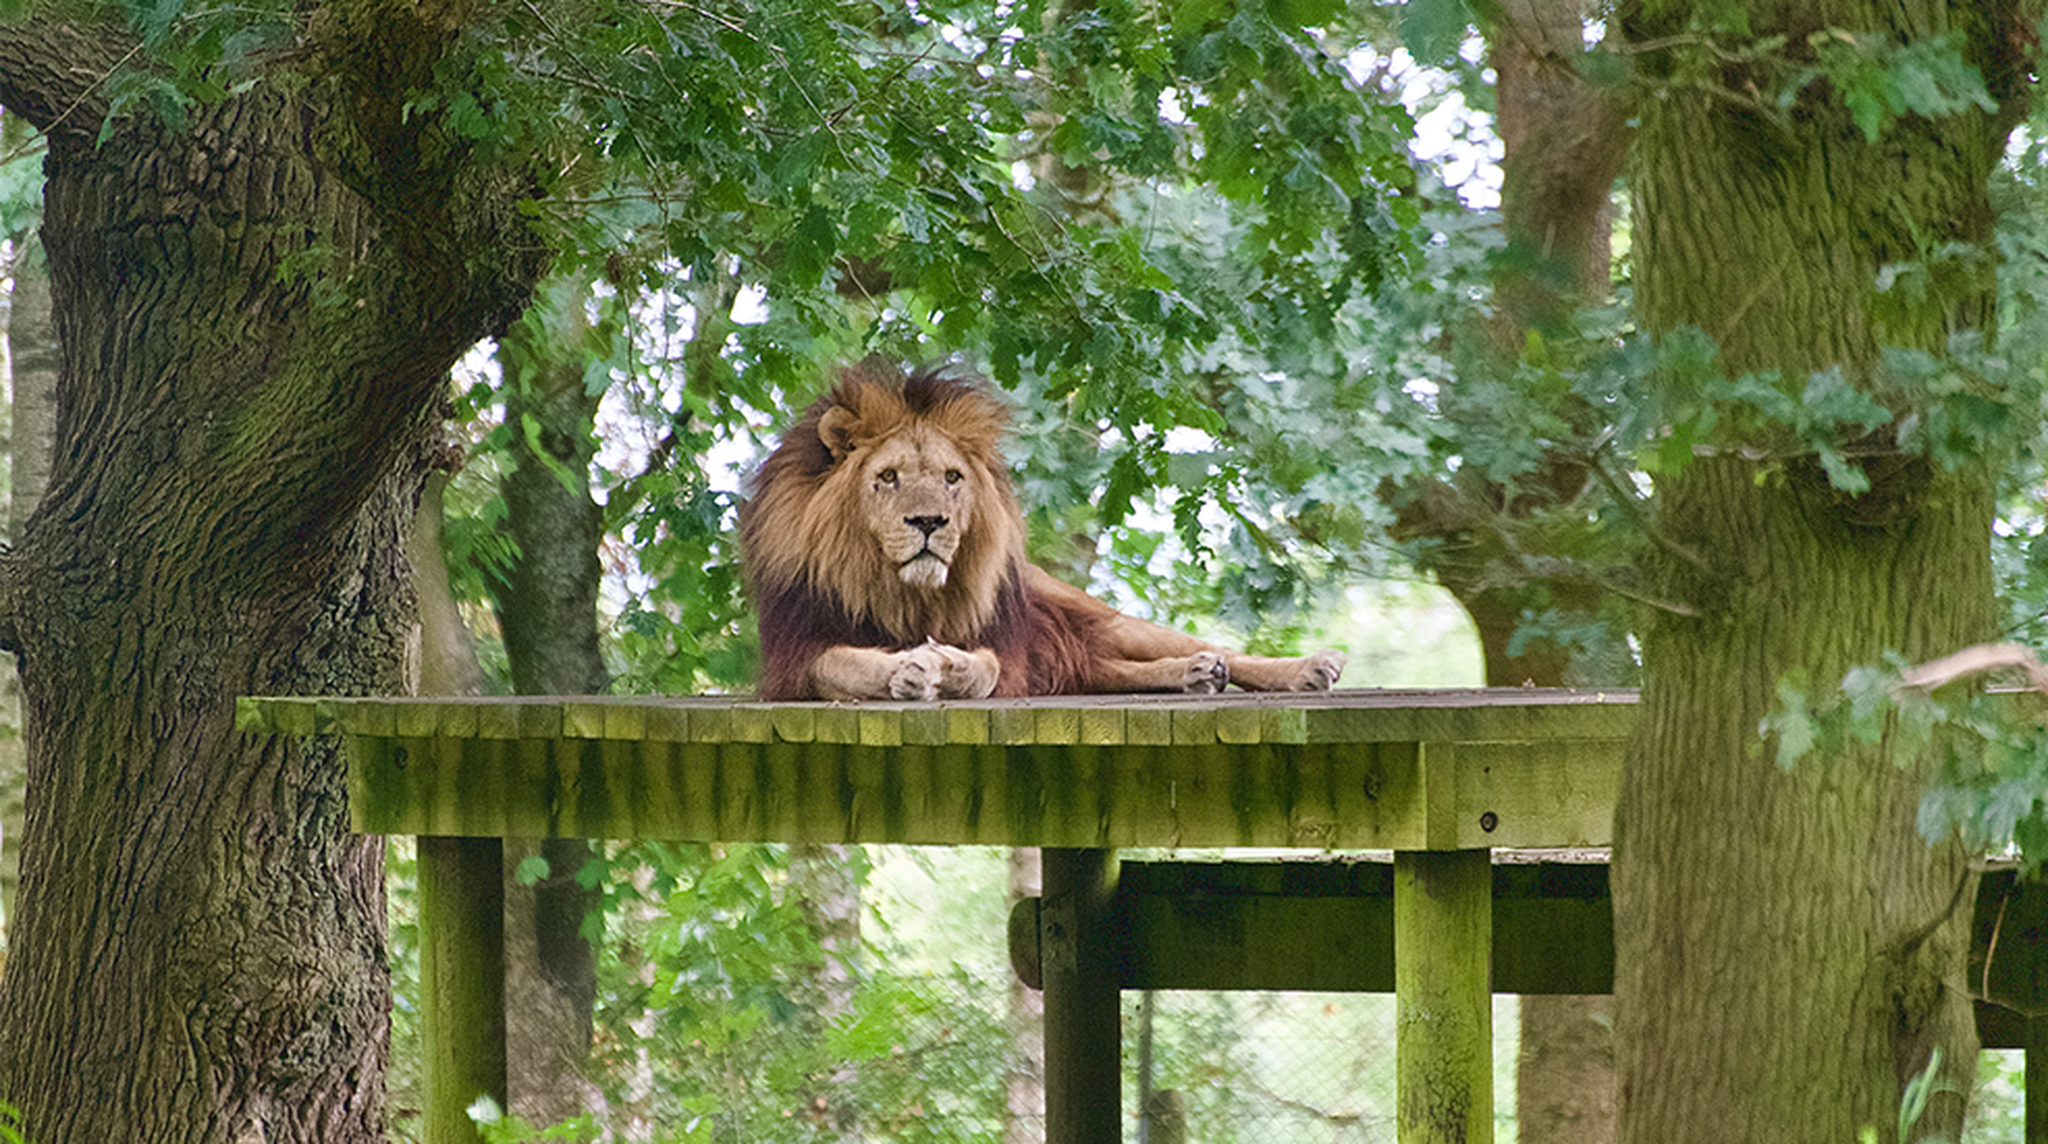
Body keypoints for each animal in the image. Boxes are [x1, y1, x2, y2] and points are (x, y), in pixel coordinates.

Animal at [740, 360, 1348, 702]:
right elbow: (843, 663)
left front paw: (947, 664)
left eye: (952, 478)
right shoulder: (796, 658)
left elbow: (983, 667)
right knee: (1112, 671)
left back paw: (1304, 669)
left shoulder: (1005, 651)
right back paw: (1195, 675)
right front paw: (906, 671)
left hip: (1101, 618)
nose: (929, 522)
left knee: (1211, 648)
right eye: (887, 478)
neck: (902, 591)